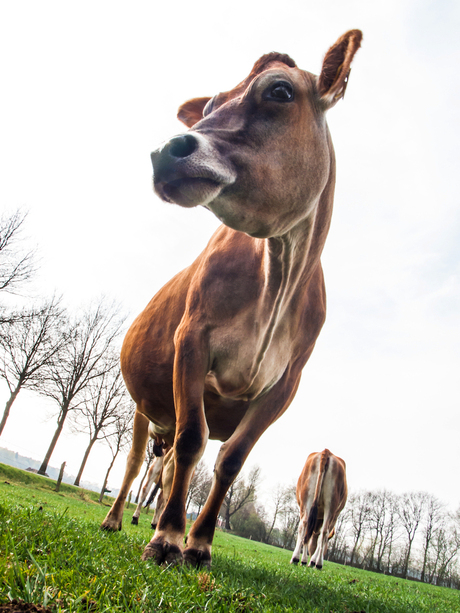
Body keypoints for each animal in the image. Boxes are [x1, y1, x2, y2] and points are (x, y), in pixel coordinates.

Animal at [101, 27, 362, 564]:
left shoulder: (284, 385)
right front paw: (167, 538)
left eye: (280, 90)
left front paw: (199, 542)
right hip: (141, 408)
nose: (165, 150)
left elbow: (231, 460)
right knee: (138, 463)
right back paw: (116, 519)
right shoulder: (191, 340)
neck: (278, 280)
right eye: (209, 106)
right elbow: (191, 440)